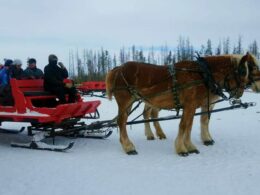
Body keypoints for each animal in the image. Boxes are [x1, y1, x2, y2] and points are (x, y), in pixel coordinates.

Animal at [106, 52, 256, 156]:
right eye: (243, 71)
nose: (240, 93)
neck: (202, 75)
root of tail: (118, 68)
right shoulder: (190, 105)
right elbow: (184, 126)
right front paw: (181, 149)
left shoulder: (193, 106)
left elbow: (189, 126)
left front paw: (190, 146)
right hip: (125, 101)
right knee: (122, 122)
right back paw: (128, 147)